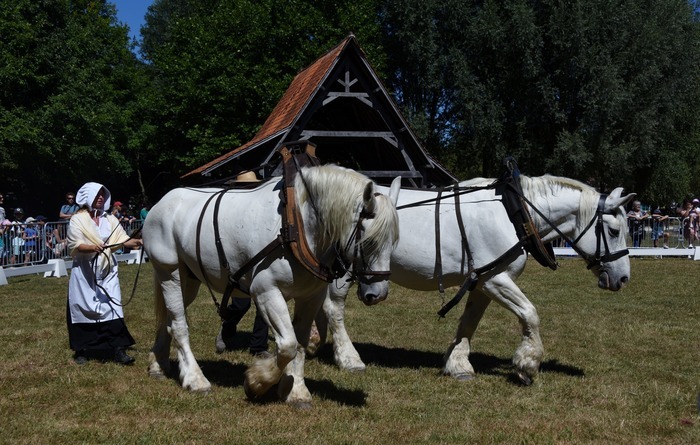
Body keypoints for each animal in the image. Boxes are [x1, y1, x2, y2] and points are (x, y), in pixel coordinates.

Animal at [143, 164, 401, 407]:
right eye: (368, 239)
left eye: (393, 239)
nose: (377, 293)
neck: (295, 226)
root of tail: (160, 204)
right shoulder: (266, 292)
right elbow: (287, 345)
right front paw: (257, 381)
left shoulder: (311, 296)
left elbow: (300, 344)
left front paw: (295, 390)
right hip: (169, 271)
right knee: (178, 325)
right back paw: (195, 379)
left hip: (188, 280)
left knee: (167, 320)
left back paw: (158, 364)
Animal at [313, 173, 635, 385]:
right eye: (614, 230)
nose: (623, 278)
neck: (514, 214)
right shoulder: (495, 280)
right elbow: (530, 314)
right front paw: (527, 364)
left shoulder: (482, 282)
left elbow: (469, 322)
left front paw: (457, 364)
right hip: (347, 269)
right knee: (333, 308)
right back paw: (348, 358)